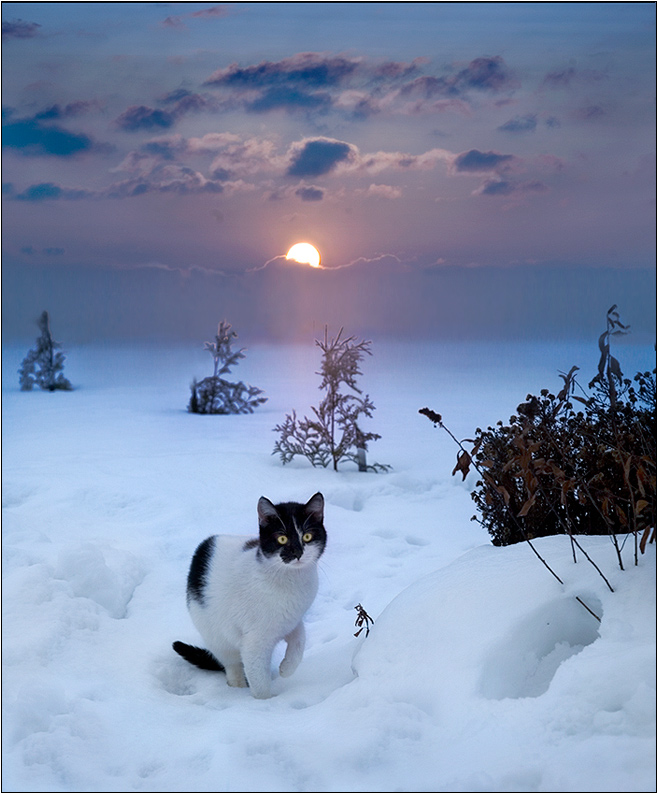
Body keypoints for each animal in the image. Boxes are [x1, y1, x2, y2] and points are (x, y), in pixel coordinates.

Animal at [173, 488, 324, 700]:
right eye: (282, 538)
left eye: (308, 537)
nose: (297, 552)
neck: (291, 582)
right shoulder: (254, 643)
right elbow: (259, 683)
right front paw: (264, 704)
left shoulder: (292, 620)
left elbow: (300, 638)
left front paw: (287, 668)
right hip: (217, 636)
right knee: (232, 666)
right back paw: (237, 688)